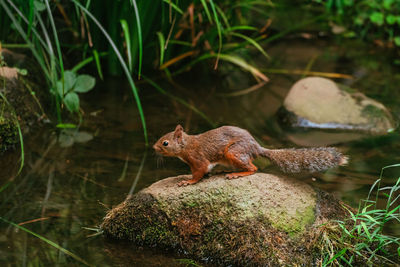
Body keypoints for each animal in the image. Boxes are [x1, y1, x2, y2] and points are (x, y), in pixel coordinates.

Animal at [153, 125, 346, 186]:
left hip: (234, 152)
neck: (186, 146)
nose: (153, 147)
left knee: (254, 168)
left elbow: (199, 172)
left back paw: (237, 174)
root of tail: (256, 147)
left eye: (165, 143)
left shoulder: (198, 159)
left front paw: (188, 181)